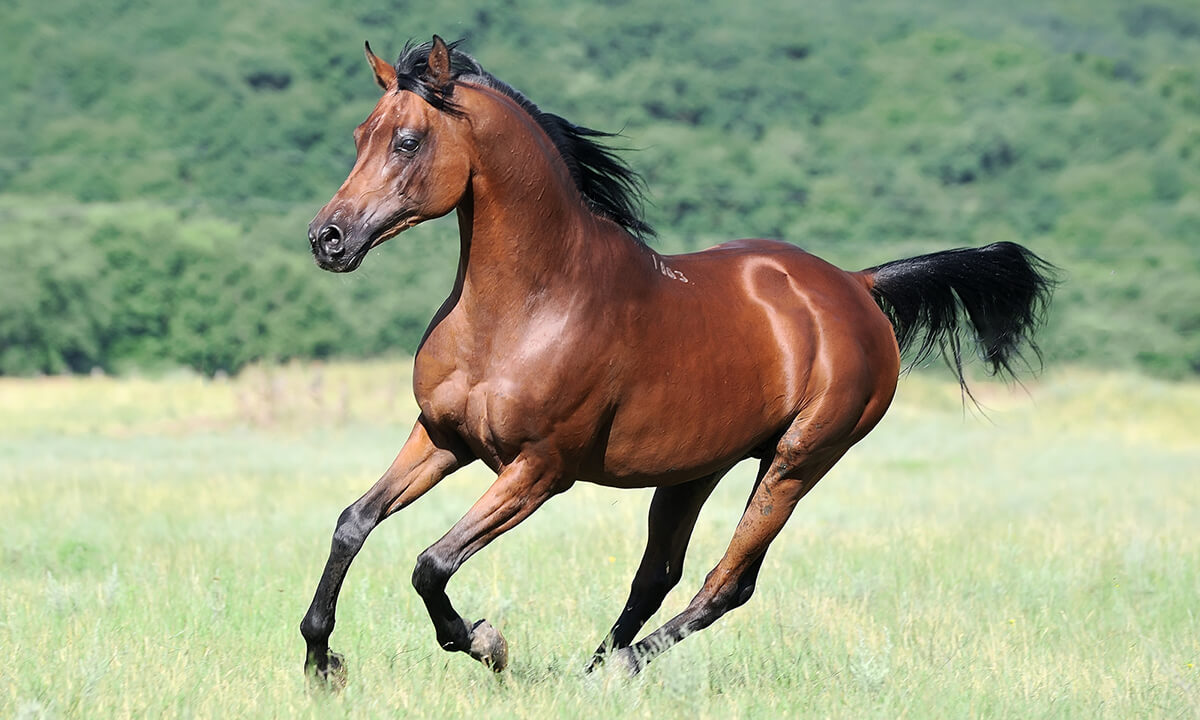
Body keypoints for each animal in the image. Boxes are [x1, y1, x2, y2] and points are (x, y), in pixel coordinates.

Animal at [300, 36, 1056, 685]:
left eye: (407, 141)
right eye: (360, 135)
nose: (327, 238)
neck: (526, 307)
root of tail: (857, 284)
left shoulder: (540, 471)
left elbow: (432, 563)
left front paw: (489, 643)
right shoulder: (441, 437)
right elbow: (352, 523)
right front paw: (321, 662)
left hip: (797, 461)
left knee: (727, 582)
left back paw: (616, 671)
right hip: (697, 468)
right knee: (656, 575)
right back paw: (593, 670)